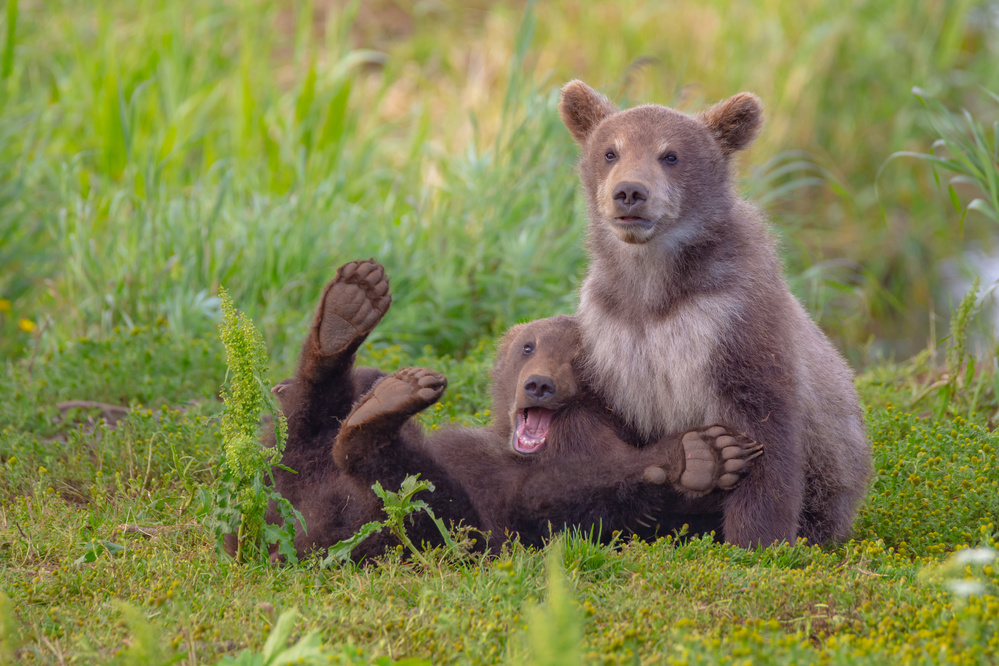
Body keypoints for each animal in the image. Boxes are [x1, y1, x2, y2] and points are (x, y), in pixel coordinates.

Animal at [267, 260, 763, 558]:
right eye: (529, 346)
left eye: (580, 360)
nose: (539, 384)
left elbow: (557, 504)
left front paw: (701, 456)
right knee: (300, 429)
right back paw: (349, 309)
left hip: (387, 529)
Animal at [557, 80, 872, 547]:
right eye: (611, 151)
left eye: (670, 155)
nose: (630, 192)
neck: (654, 289)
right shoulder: (612, 333)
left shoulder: (730, 319)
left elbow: (764, 430)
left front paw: (757, 539)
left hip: (834, 471)